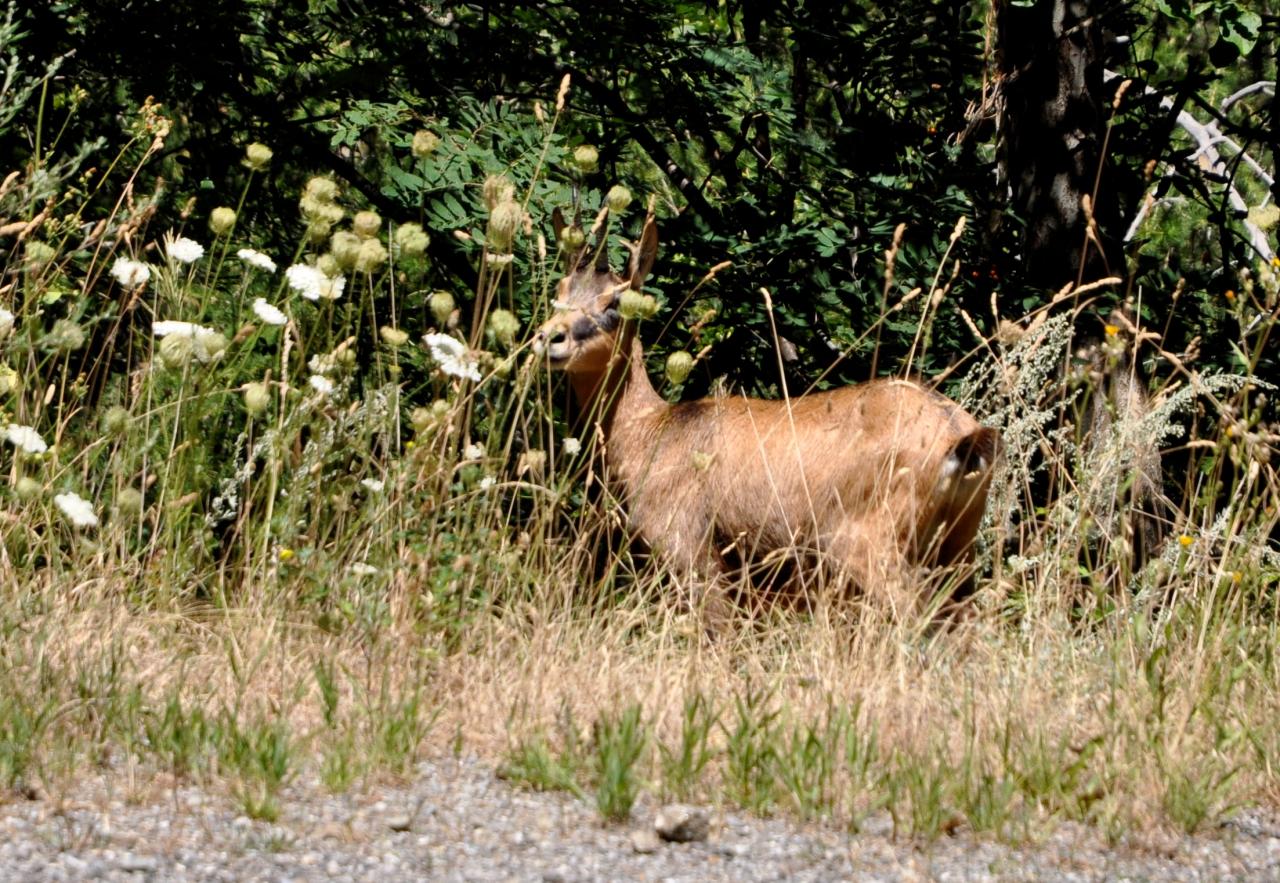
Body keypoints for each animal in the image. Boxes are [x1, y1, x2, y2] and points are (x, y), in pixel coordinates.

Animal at [529, 209, 998, 621]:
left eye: (616, 301)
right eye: (561, 288)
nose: (550, 338)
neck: (651, 430)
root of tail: (959, 435)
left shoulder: (690, 550)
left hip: (871, 547)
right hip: (956, 552)